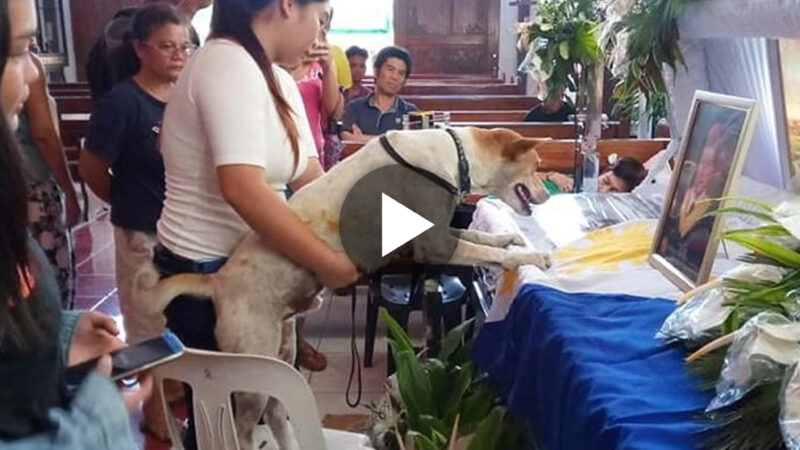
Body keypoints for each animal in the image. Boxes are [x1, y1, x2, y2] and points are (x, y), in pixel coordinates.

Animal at [136, 126, 552, 450]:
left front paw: (508, 239)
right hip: (251, 368)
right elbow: (483, 249)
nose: (547, 195)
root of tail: (216, 280)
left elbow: (480, 236)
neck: (455, 154)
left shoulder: (439, 236)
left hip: (281, 349)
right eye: (536, 166)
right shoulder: (434, 245)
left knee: (276, 411)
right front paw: (530, 257)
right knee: (242, 430)